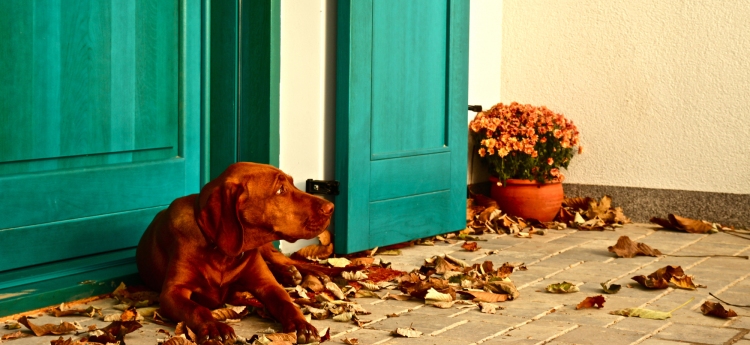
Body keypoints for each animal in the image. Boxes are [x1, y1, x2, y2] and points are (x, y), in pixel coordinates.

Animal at [136, 163, 334, 342]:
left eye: (292, 184)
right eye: (280, 190)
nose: (331, 207)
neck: (222, 254)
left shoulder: (267, 285)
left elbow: (287, 303)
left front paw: (302, 324)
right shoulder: (172, 293)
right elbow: (197, 309)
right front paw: (215, 327)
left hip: (267, 251)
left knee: (287, 261)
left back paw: (310, 273)